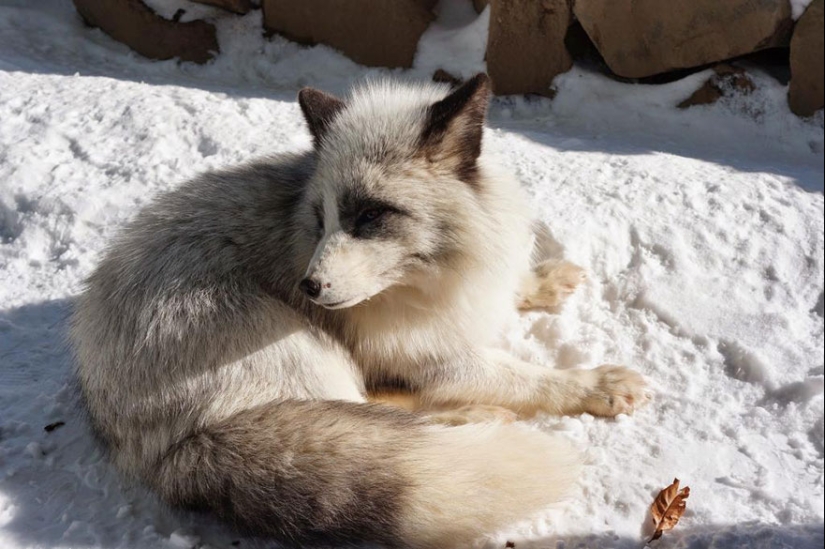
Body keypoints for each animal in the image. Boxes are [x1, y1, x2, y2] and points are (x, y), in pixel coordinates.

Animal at [70, 73, 648, 548]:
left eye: (370, 215)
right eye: (320, 218)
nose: (308, 286)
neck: (433, 280)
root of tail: (166, 454)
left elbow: (509, 293)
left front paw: (540, 283)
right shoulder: (436, 357)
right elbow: (527, 376)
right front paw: (594, 384)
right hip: (301, 345)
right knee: (370, 411)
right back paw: (471, 418)